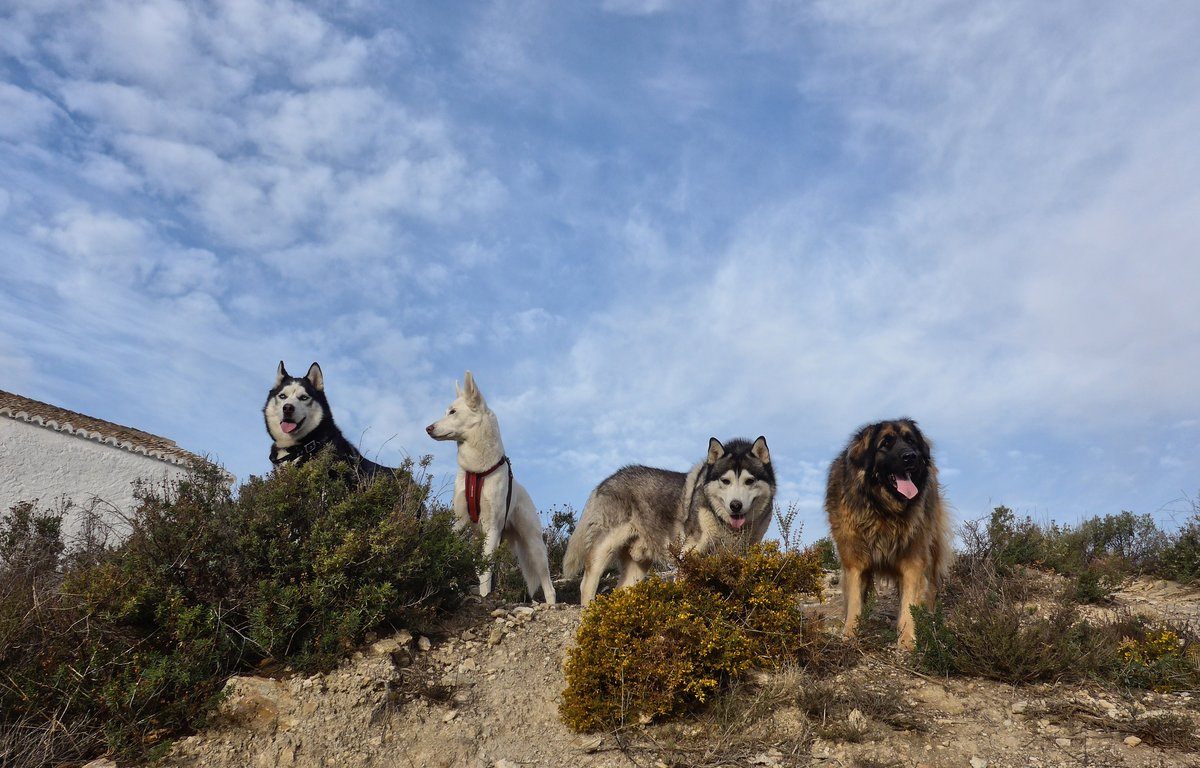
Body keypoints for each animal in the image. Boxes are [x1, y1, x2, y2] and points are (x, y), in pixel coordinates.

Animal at [425, 371, 555, 604]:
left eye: (453, 411)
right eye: (446, 412)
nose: (428, 428)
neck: (477, 470)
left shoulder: (492, 527)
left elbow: (486, 571)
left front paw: (486, 596)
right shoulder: (459, 522)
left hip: (534, 547)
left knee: (548, 584)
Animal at [563, 436, 775, 606]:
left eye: (749, 481)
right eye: (725, 481)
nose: (735, 505)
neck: (727, 526)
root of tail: (605, 481)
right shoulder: (689, 552)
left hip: (637, 568)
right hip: (605, 547)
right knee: (587, 582)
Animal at [825, 418, 950, 649]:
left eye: (911, 441)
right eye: (885, 443)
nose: (911, 456)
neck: (883, 509)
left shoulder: (913, 560)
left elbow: (909, 602)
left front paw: (907, 640)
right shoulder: (854, 560)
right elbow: (854, 599)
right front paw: (849, 634)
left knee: (930, 588)